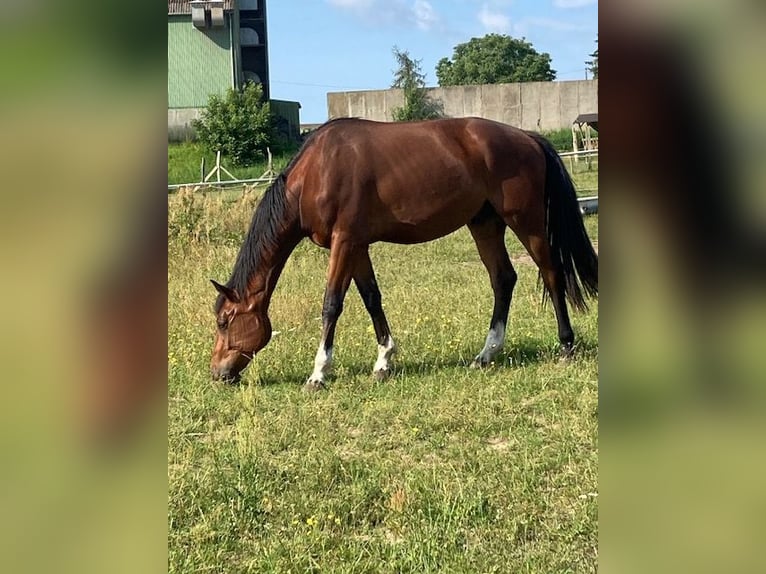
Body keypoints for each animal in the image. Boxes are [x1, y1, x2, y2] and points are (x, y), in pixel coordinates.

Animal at [212, 117, 600, 392]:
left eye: (224, 322)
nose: (218, 373)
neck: (316, 172)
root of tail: (528, 138)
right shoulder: (357, 246)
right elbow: (371, 298)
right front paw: (384, 361)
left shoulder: (344, 242)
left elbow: (332, 304)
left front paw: (318, 373)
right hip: (485, 224)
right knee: (503, 279)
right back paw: (486, 354)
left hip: (526, 221)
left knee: (551, 273)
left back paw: (566, 346)